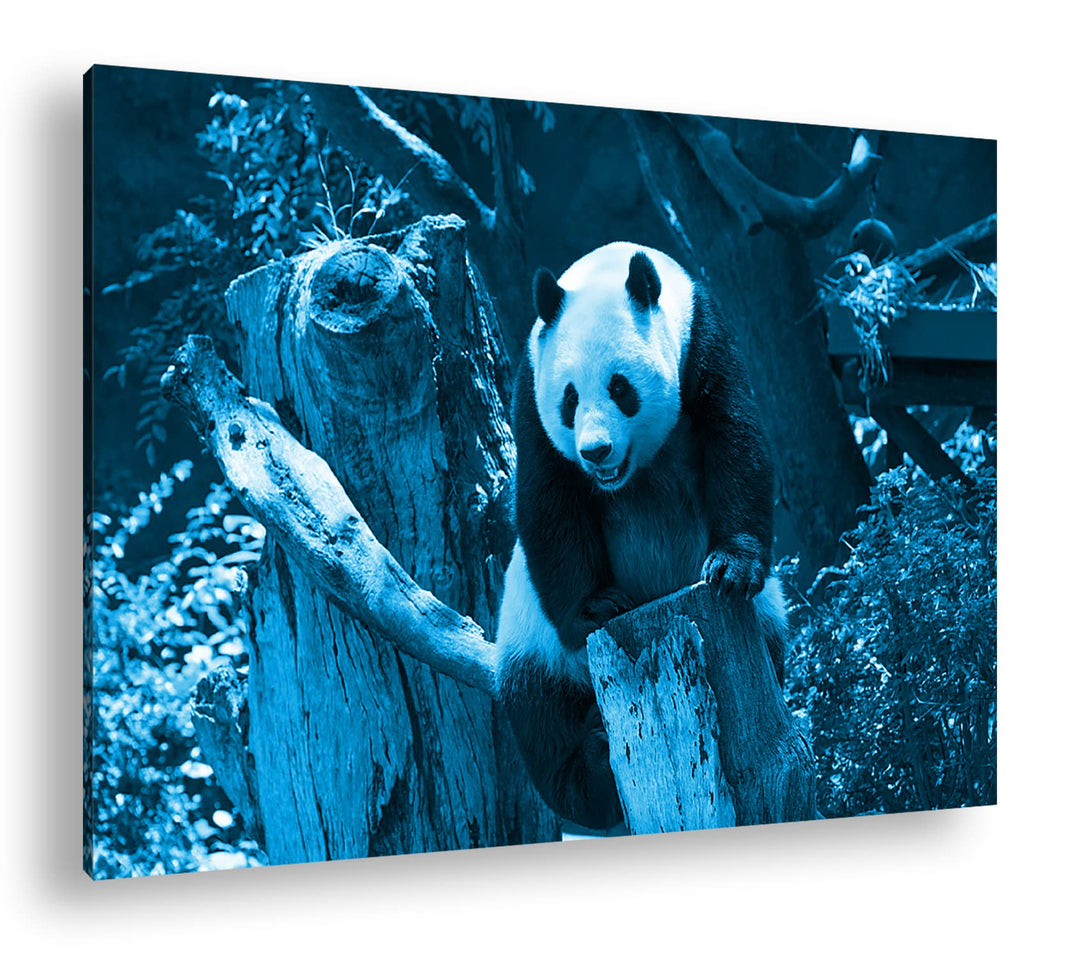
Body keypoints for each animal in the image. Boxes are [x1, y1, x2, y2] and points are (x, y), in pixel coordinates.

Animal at [495, 242, 788, 831]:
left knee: (772, 645)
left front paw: (731, 567)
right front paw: (598, 607)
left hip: (768, 615)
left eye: (619, 387)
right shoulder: (531, 386)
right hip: (530, 639)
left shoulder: (702, 339)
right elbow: (548, 501)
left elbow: (735, 438)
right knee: (544, 722)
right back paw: (594, 764)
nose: (596, 451)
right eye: (568, 399)